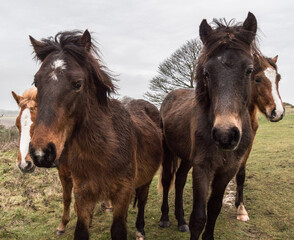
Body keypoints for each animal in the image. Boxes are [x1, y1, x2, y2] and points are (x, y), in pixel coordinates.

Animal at [28, 30, 162, 240]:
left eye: (77, 83)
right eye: (36, 82)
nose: (41, 152)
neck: (105, 150)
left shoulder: (122, 193)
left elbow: (118, 229)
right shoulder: (83, 194)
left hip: (146, 180)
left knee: (142, 200)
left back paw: (140, 229)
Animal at [158, 53, 284, 234]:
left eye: (278, 78)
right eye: (257, 79)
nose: (277, 112)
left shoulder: (244, 151)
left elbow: (241, 175)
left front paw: (241, 209)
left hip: (187, 156)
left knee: (180, 180)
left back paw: (181, 220)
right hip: (168, 151)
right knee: (168, 179)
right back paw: (165, 218)